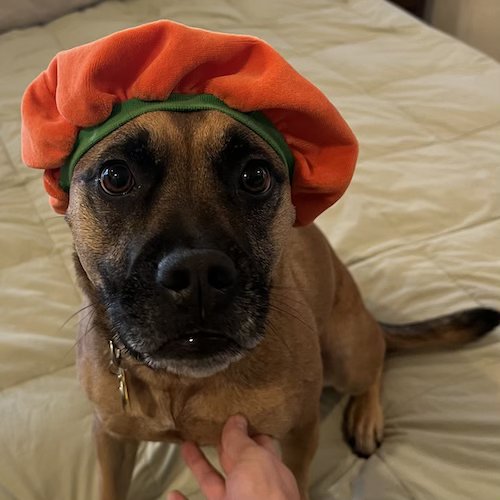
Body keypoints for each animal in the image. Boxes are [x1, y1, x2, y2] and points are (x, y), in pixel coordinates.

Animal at [67, 110, 500, 500]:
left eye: (254, 177)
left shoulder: (300, 428)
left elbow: (297, 478)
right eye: (116, 177)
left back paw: (366, 417)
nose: (198, 273)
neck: (180, 383)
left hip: (345, 354)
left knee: (377, 360)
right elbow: (110, 488)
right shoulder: (111, 439)